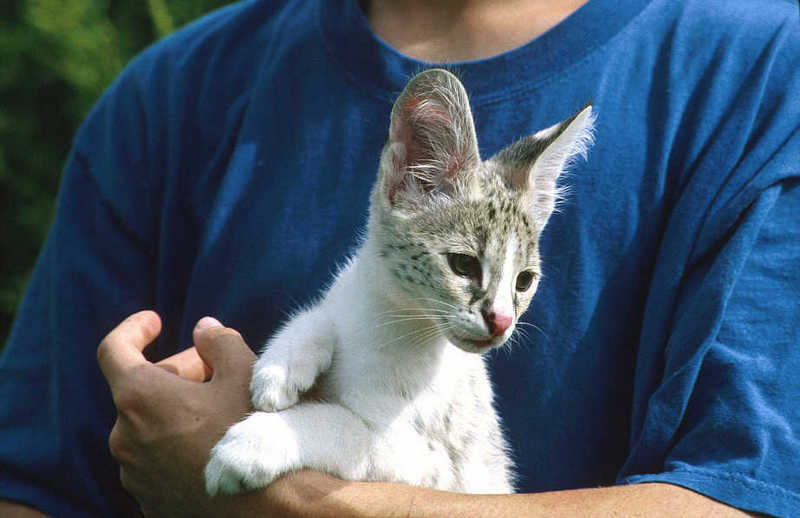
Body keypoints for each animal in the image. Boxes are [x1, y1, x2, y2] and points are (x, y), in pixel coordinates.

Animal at [206, 68, 592, 496]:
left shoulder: (429, 465)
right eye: (463, 264)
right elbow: (321, 313)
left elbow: (348, 427)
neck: (389, 318)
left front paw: (258, 441)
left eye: (524, 281)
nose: (502, 322)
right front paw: (282, 364)